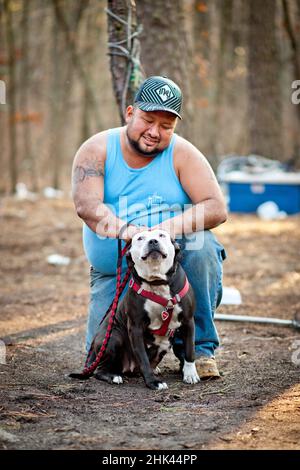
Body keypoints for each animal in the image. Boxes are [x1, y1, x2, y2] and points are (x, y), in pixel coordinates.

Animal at [83, 229, 199, 392]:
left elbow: (189, 350)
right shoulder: (135, 327)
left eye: (162, 235)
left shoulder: (188, 321)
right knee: (100, 370)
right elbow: (143, 359)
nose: (153, 241)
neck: (157, 282)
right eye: (140, 238)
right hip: (113, 338)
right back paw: (113, 376)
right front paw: (153, 382)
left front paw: (190, 374)